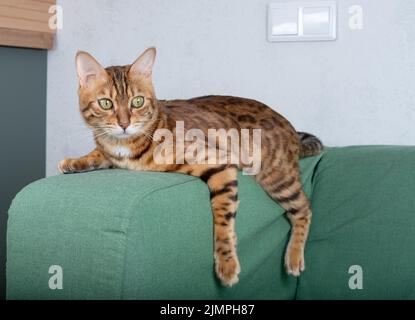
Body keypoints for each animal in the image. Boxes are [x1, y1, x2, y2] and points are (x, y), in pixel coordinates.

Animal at [59, 47, 324, 284]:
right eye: (105, 103)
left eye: (137, 101)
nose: (124, 124)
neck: (126, 147)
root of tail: (291, 128)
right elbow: (99, 153)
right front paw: (74, 161)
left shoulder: (218, 161)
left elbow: (222, 216)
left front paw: (227, 263)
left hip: (277, 179)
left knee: (304, 209)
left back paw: (294, 257)